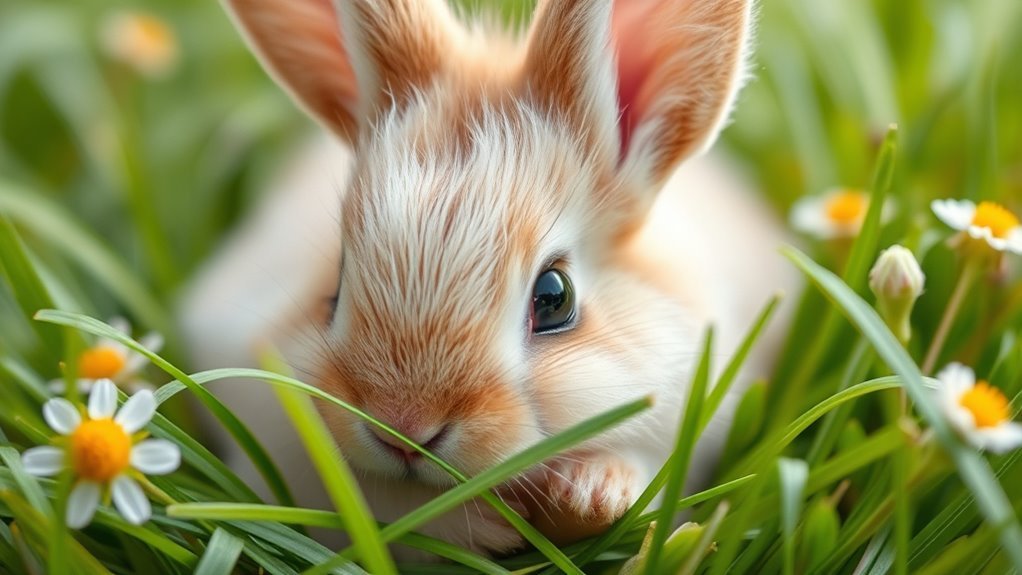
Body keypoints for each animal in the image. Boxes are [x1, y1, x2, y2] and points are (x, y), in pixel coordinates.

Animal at [180, 0, 798, 557]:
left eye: (554, 298)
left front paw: (592, 496)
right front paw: (479, 525)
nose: (405, 429)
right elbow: (382, 507)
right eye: (336, 284)